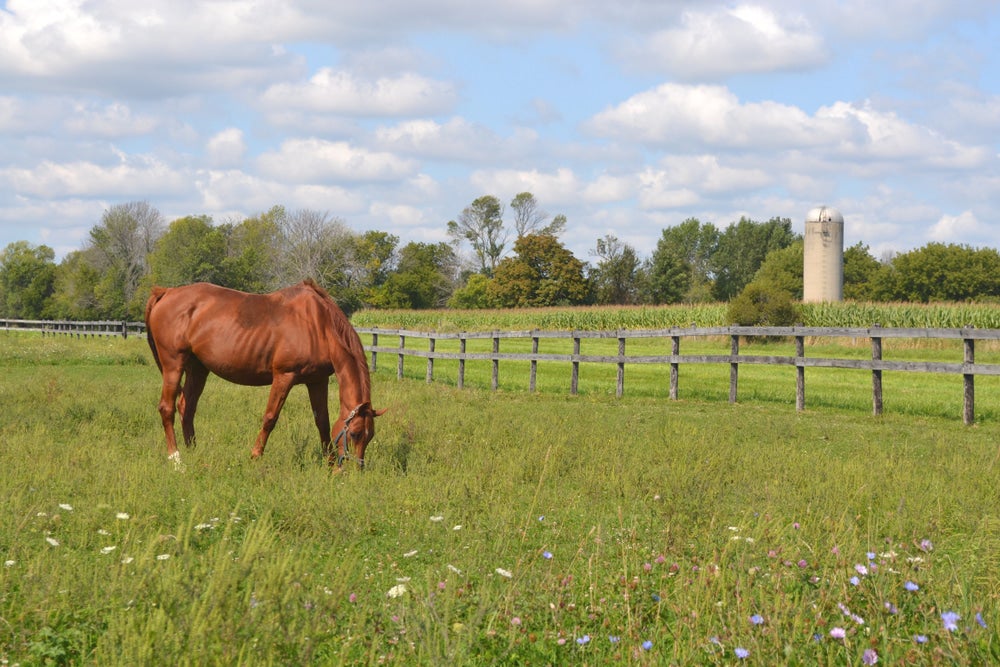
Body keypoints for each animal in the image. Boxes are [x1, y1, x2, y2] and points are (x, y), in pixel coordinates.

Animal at [143, 280, 384, 470]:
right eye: (355, 433)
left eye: (370, 436)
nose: (356, 471)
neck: (318, 324)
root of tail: (166, 292)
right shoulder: (284, 377)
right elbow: (270, 418)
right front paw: (255, 456)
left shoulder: (317, 381)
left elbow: (322, 422)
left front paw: (331, 464)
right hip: (174, 364)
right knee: (167, 408)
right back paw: (176, 459)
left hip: (198, 368)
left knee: (187, 407)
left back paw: (193, 450)